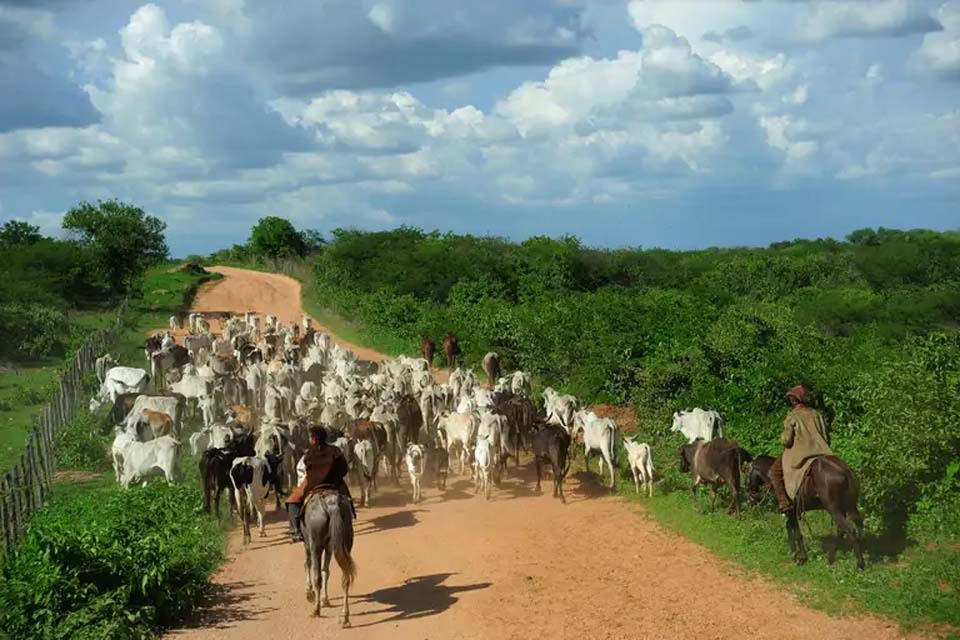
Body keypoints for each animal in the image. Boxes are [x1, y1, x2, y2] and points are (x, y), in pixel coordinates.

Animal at [304, 490, 356, 624]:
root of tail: (332, 503)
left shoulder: (308, 543)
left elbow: (308, 565)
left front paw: (309, 593)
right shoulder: (329, 547)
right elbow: (326, 571)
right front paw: (325, 599)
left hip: (315, 545)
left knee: (317, 577)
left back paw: (316, 610)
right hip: (346, 541)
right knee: (345, 578)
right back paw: (345, 616)